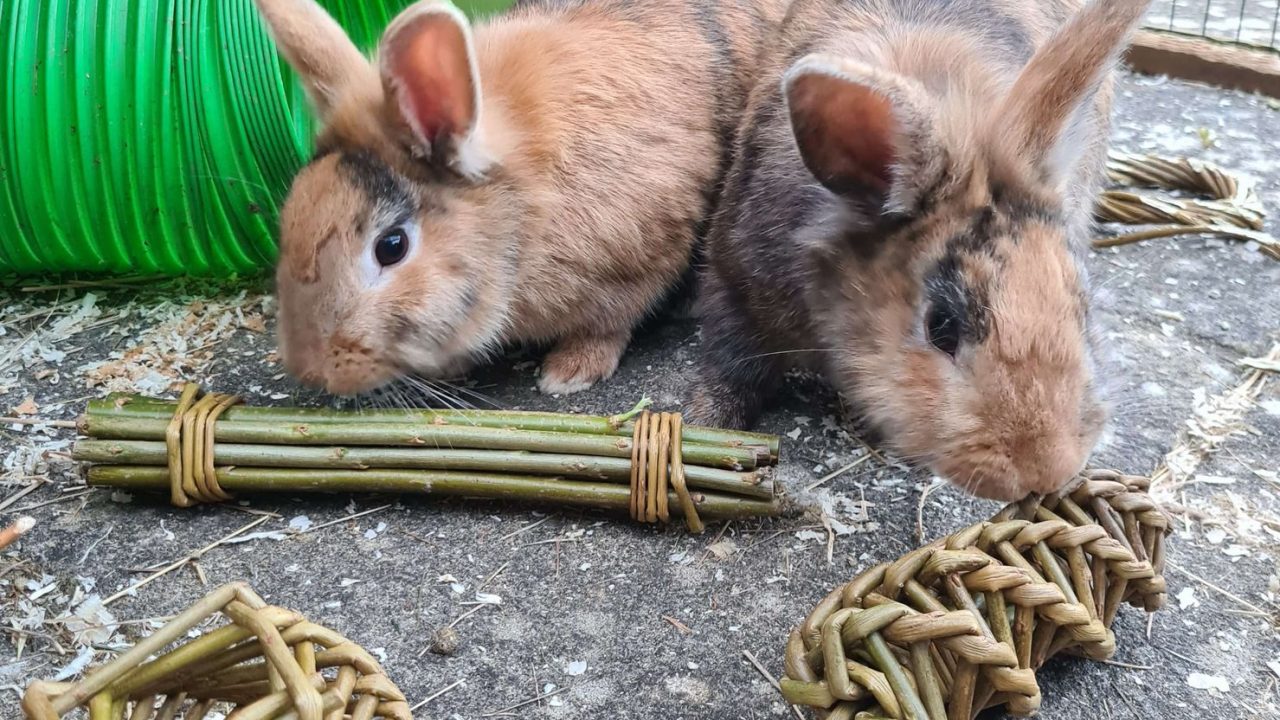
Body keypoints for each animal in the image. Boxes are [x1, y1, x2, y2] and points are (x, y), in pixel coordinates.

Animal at [256, 0, 789, 397]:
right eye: (291, 215)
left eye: (392, 247)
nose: (309, 369)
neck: (521, 213)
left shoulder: (642, 257)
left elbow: (609, 323)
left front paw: (568, 374)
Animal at [687, 0, 1153, 501]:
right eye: (941, 327)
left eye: (1081, 309)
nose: (1046, 471)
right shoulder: (736, 286)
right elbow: (730, 365)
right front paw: (703, 423)